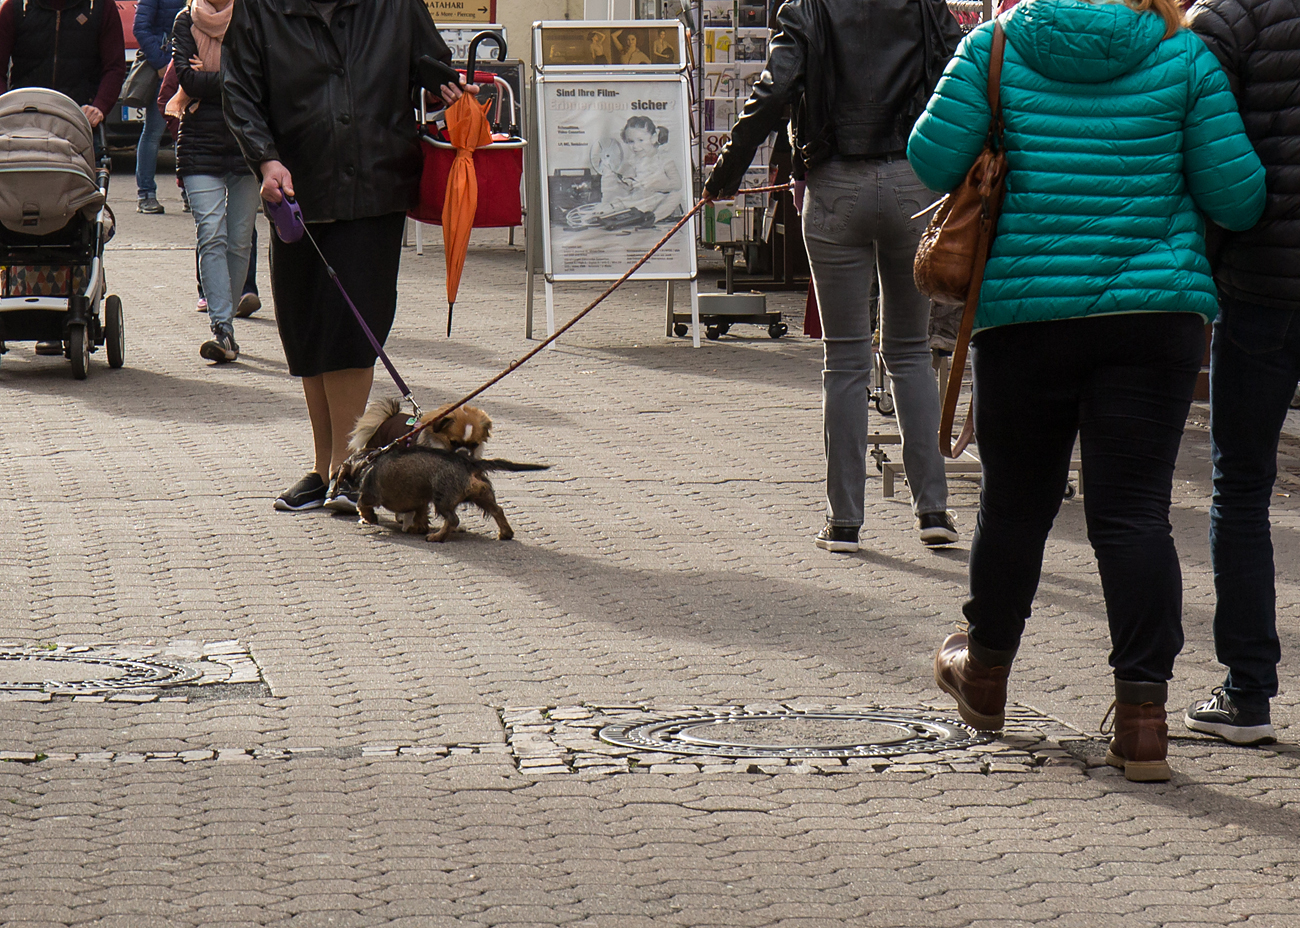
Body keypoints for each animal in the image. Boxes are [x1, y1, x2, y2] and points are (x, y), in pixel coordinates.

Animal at [338, 441, 546, 538]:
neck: (366, 462)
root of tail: (467, 462)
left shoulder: (370, 494)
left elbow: (361, 504)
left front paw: (368, 517)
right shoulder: (420, 500)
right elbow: (421, 513)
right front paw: (418, 527)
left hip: (442, 499)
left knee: (453, 520)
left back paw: (437, 537)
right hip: (482, 493)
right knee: (497, 510)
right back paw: (505, 533)